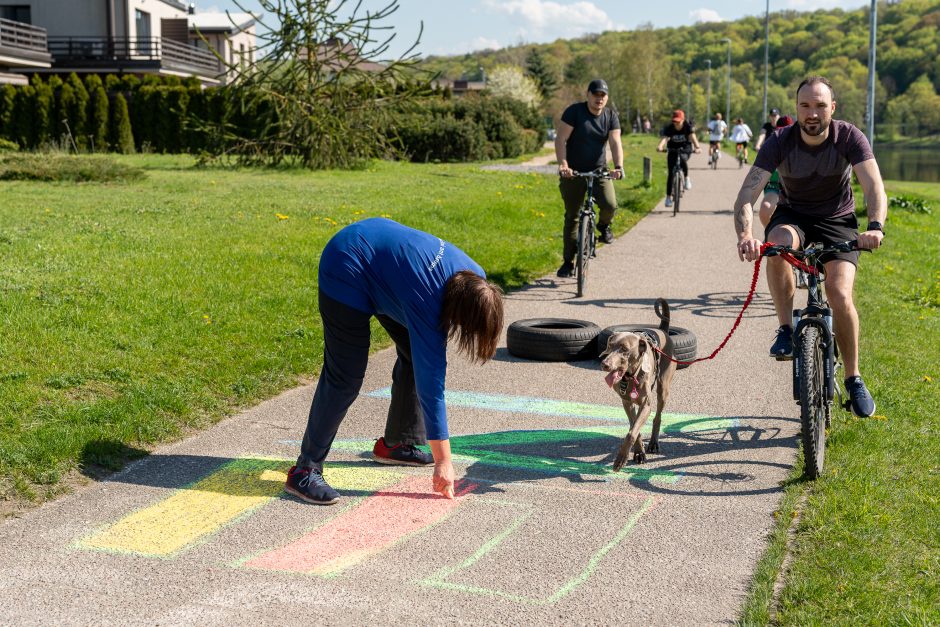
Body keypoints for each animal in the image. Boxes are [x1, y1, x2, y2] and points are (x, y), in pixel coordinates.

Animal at [604, 300, 676, 472]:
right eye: (610, 346)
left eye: (624, 349)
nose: (605, 364)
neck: (630, 377)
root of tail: (662, 330)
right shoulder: (626, 402)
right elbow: (633, 426)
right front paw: (638, 452)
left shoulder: (646, 405)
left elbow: (632, 432)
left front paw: (621, 459)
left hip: (663, 388)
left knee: (658, 416)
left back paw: (654, 443)